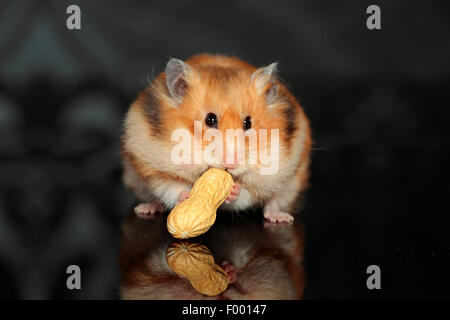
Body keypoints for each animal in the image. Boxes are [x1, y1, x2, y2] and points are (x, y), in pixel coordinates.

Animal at [121, 53, 312, 222]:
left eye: (248, 123)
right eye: (210, 119)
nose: (230, 164)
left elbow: (246, 194)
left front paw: (233, 191)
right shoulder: (154, 166)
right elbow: (171, 187)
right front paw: (187, 196)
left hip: (291, 183)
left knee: (273, 200)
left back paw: (281, 218)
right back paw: (145, 209)